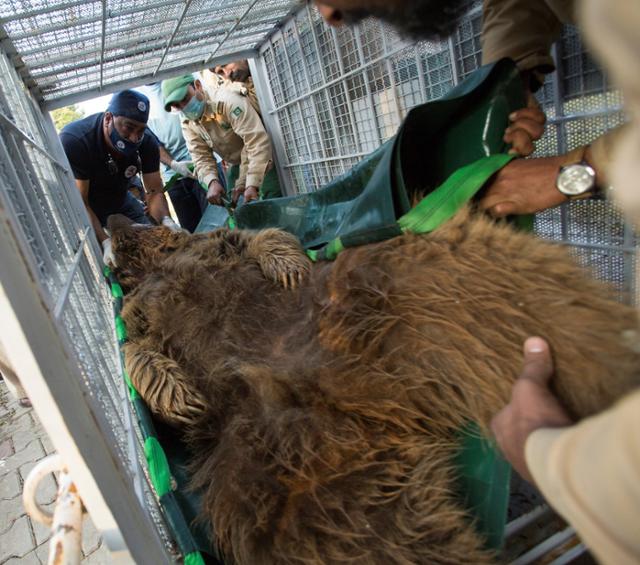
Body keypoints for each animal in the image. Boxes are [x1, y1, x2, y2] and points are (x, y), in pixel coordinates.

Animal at [109, 210, 640, 564]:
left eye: (138, 222)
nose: (112, 218)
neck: (158, 265)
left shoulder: (216, 243)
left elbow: (264, 235)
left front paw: (285, 263)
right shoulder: (138, 315)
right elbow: (133, 350)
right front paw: (178, 393)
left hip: (384, 292)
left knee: (498, 286)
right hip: (280, 471)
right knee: (356, 535)